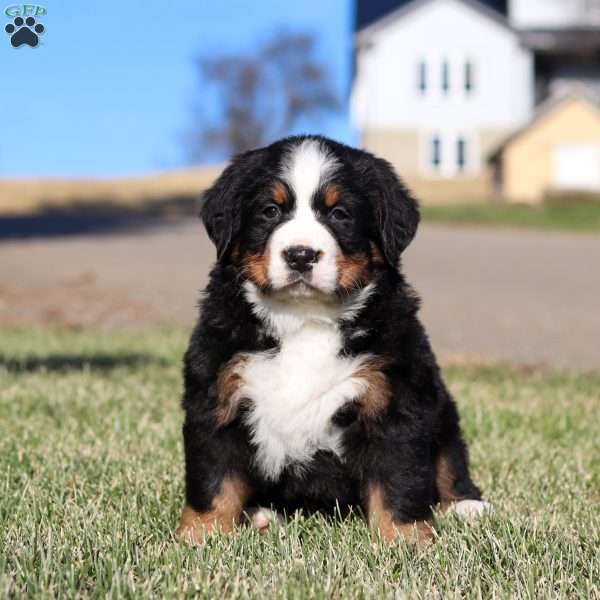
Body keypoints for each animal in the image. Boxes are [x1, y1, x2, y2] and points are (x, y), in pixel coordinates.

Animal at [176, 134, 490, 548]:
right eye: (270, 211)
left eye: (339, 214)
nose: (301, 255)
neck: (304, 319)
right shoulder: (217, 393)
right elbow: (214, 479)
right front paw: (200, 536)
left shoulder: (395, 397)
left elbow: (400, 477)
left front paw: (406, 539)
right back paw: (260, 514)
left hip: (442, 410)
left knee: (449, 460)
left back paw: (467, 506)